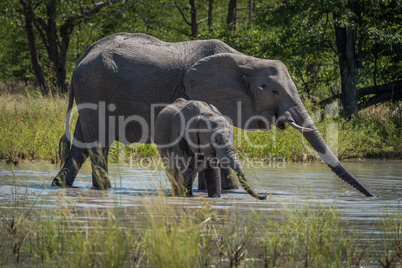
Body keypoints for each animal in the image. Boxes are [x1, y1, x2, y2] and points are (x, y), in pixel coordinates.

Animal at [51, 33, 376, 197]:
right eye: (273, 91)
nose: (372, 197)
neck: (244, 59)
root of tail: (83, 55)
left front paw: (224, 193)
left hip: (91, 89)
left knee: (81, 142)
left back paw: (61, 185)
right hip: (96, 89)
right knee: (98, 143)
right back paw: (102, 190)